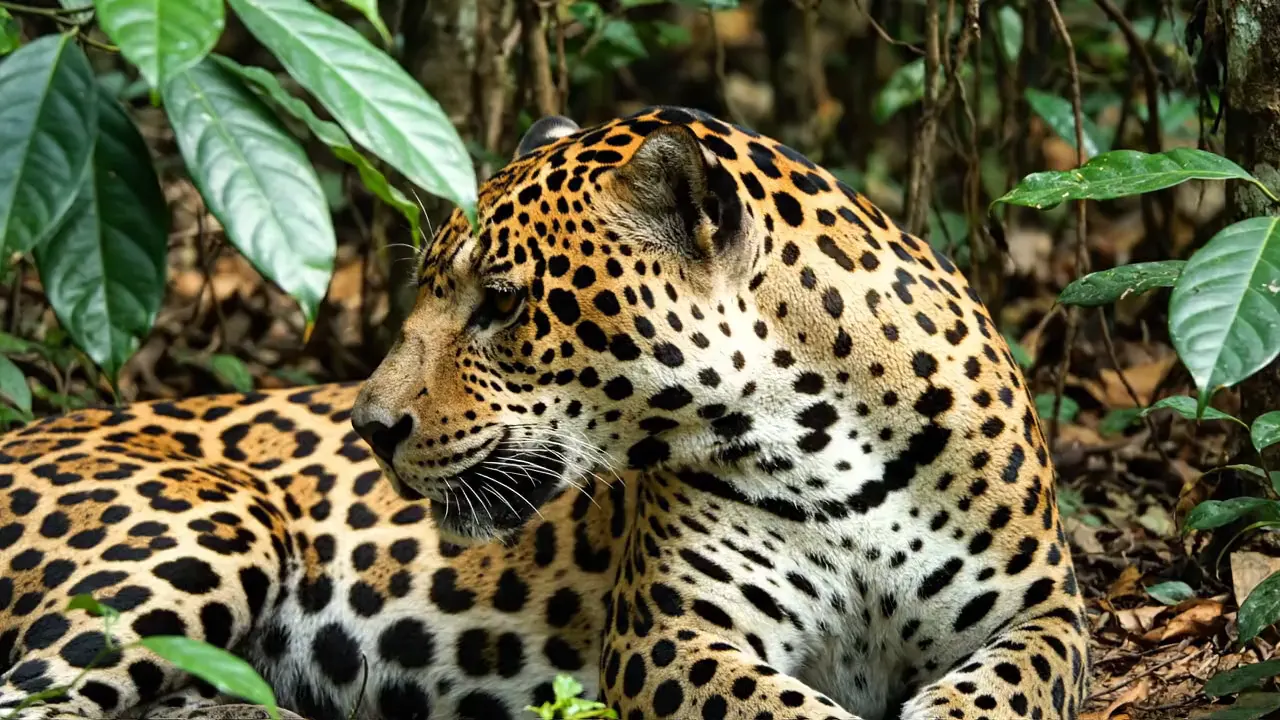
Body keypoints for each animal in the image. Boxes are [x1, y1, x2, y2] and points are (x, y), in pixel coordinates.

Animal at [0, 106, 1087, 720]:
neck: (818, 436)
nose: (368, 428)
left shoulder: (1046, 611)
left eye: (500, 303)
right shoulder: (671, 636)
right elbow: (778, 711)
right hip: (208, 519)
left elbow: (1008, 685)